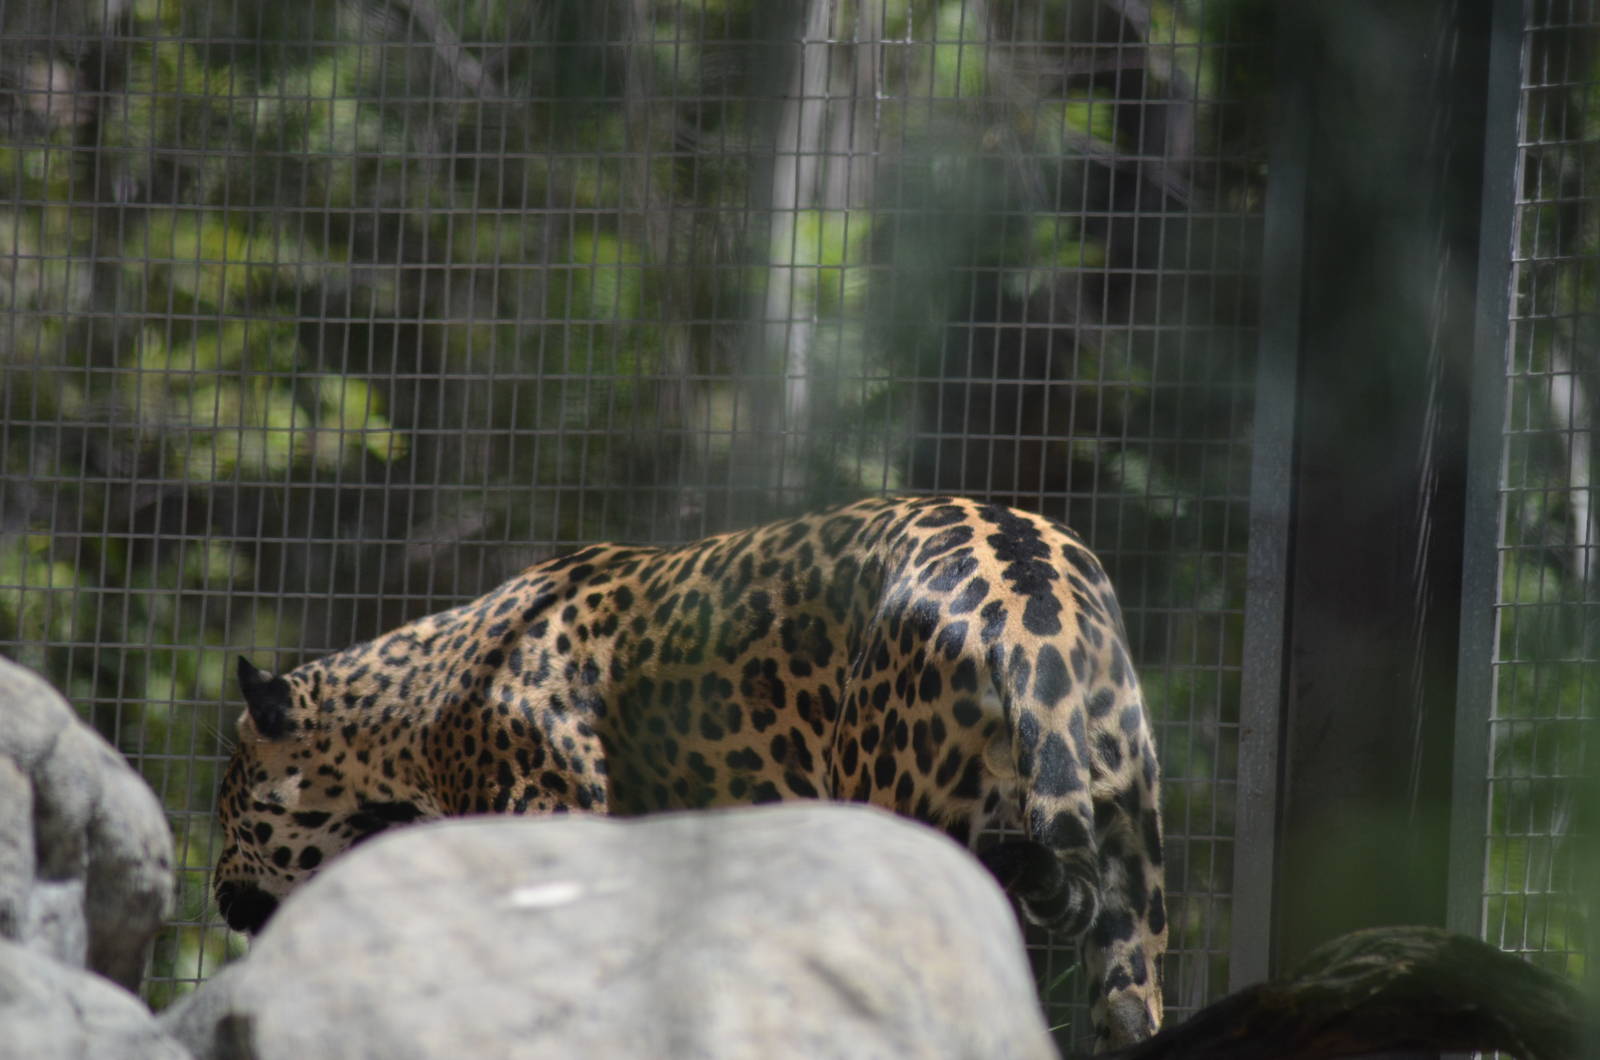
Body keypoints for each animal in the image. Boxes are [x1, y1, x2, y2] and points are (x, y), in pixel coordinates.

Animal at [213, 495, 1167, 1049]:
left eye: (227, 808)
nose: (219, 898)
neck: (415, 722)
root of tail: (1031, 599)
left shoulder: (553, 826)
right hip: (1130, 835)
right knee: (1132, 1001)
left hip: (898, 803)